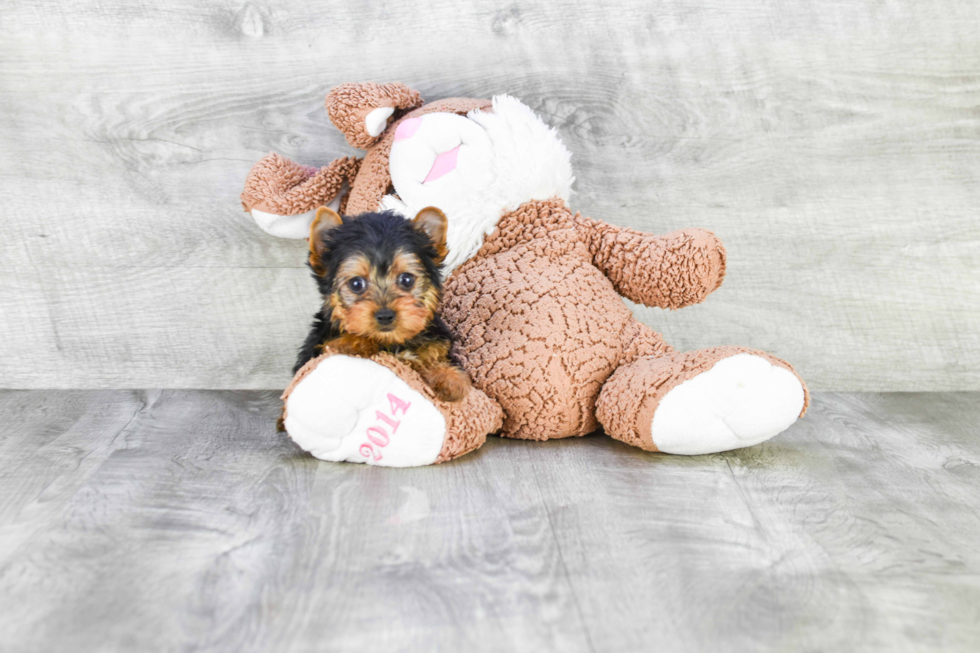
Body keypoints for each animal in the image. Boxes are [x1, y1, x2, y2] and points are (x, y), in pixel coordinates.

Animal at [292, 206, 472, 402]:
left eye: (406, 279)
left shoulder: (437, 344)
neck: (391, 341)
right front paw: (354, 343)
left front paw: (450, 378)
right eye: (356, 284)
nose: (385, 315)